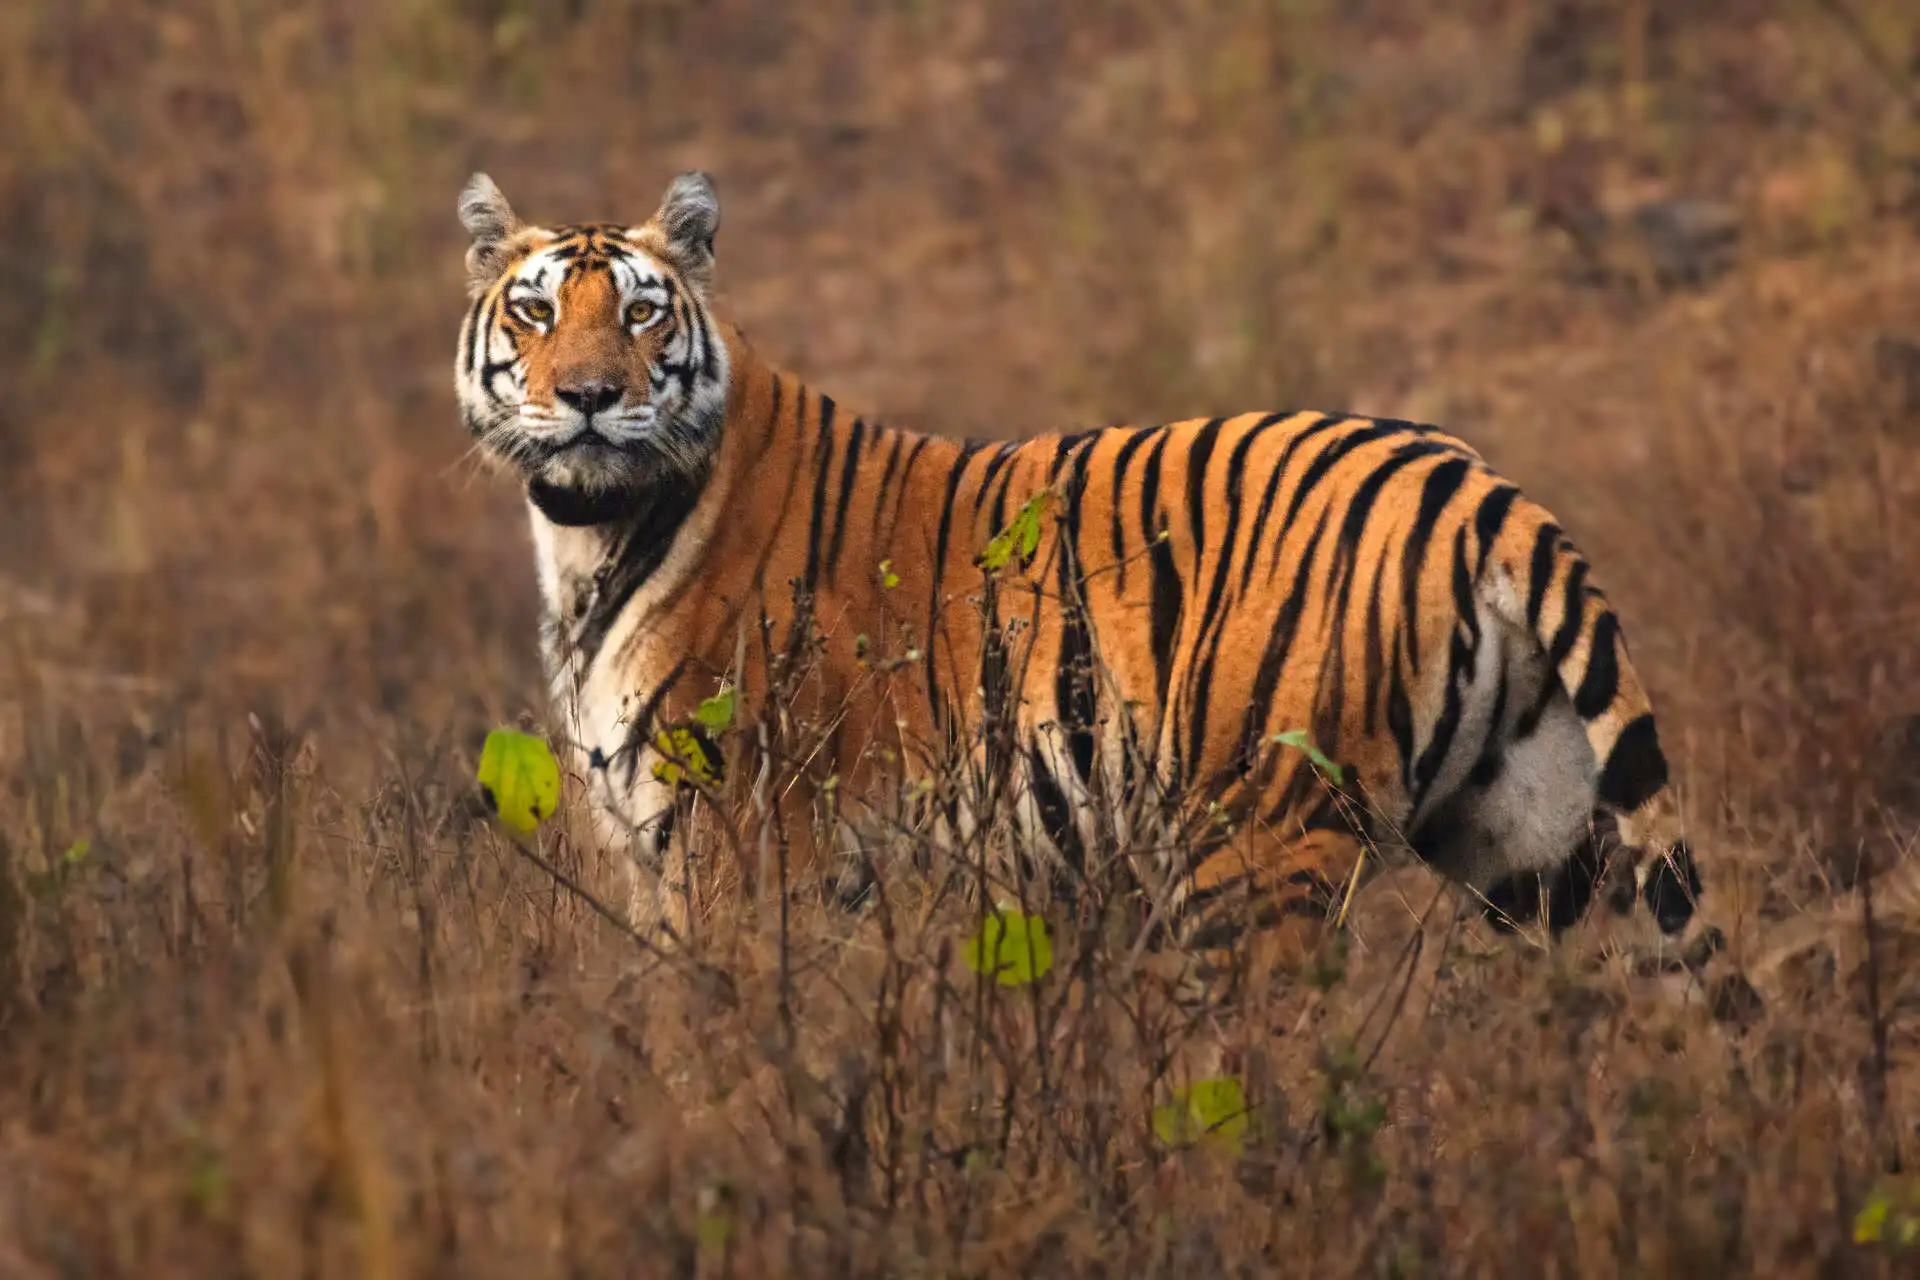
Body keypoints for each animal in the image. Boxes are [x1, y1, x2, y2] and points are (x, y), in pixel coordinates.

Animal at [456, 169, 1720, 990]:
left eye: (640, 311)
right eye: (535, 309)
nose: (585, 396)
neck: (588, 534)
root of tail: (1471, 477)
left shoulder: (738, 842)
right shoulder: (647, 850)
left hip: (1254, 847)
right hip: (1540, 835)